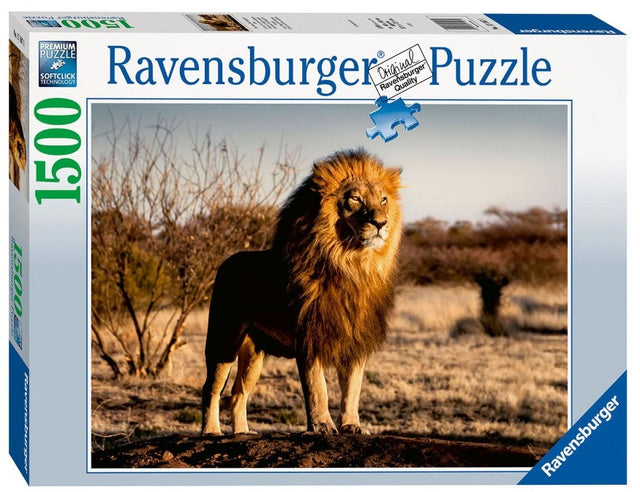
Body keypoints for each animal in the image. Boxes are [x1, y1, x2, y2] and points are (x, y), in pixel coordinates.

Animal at [201, 149, 402, 435]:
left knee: (239, 394)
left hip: (253, 355)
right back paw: (211, 431)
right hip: (223, 340)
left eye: (383, 199)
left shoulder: (355, 340)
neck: (351, 265)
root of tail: (227, 261)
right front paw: (322, 425)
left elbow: (353, 389)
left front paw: (352, 425)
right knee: (211, 389)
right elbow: (318, 388)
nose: (381, 223)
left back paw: (242, 433)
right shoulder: (309, 336)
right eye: (355, 199)